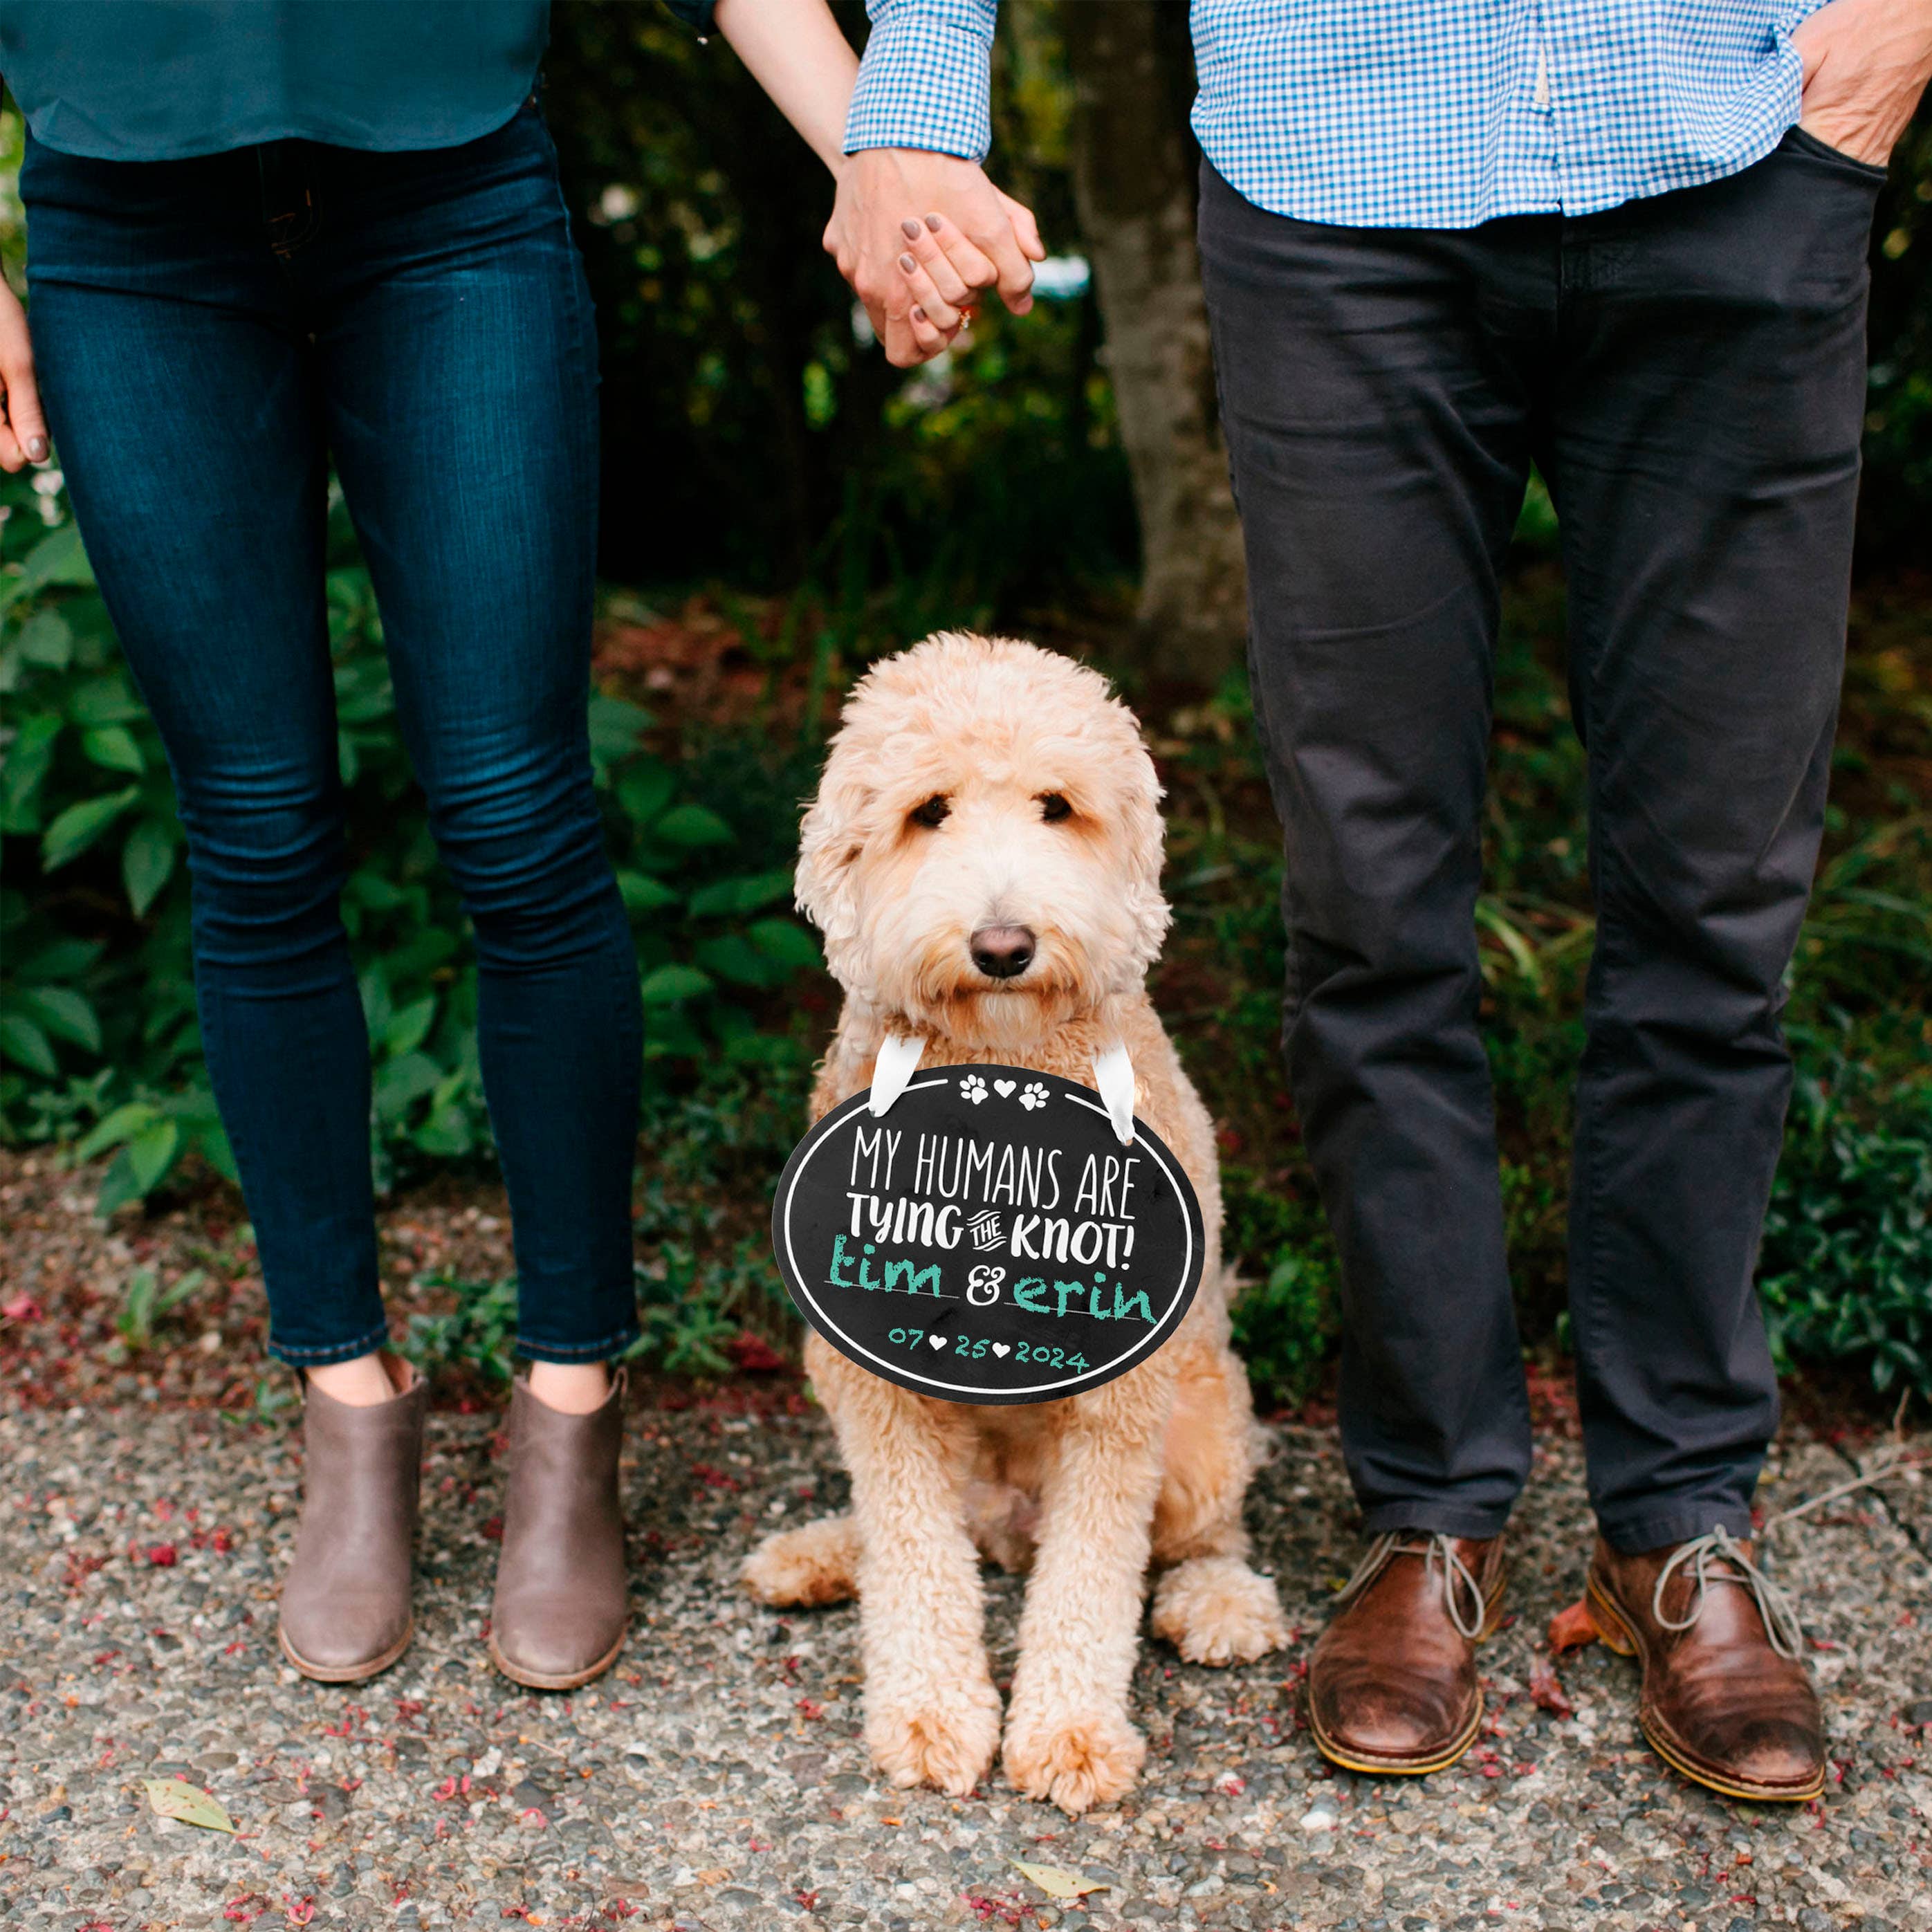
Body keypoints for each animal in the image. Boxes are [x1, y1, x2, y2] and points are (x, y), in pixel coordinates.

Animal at [742, 634, 1282, 1808]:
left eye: (1056, 806)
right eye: (928, 811)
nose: (1002, 945)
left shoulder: (1120, 1398)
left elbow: (1094, 1577)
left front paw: (1069, 1734)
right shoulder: (875, 1378)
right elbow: (912, 1557)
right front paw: (931, 1715)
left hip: (1204, 1420)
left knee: (1197, 1535)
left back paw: (1220, 1601)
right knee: (920, 1532)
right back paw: (824, 1552)